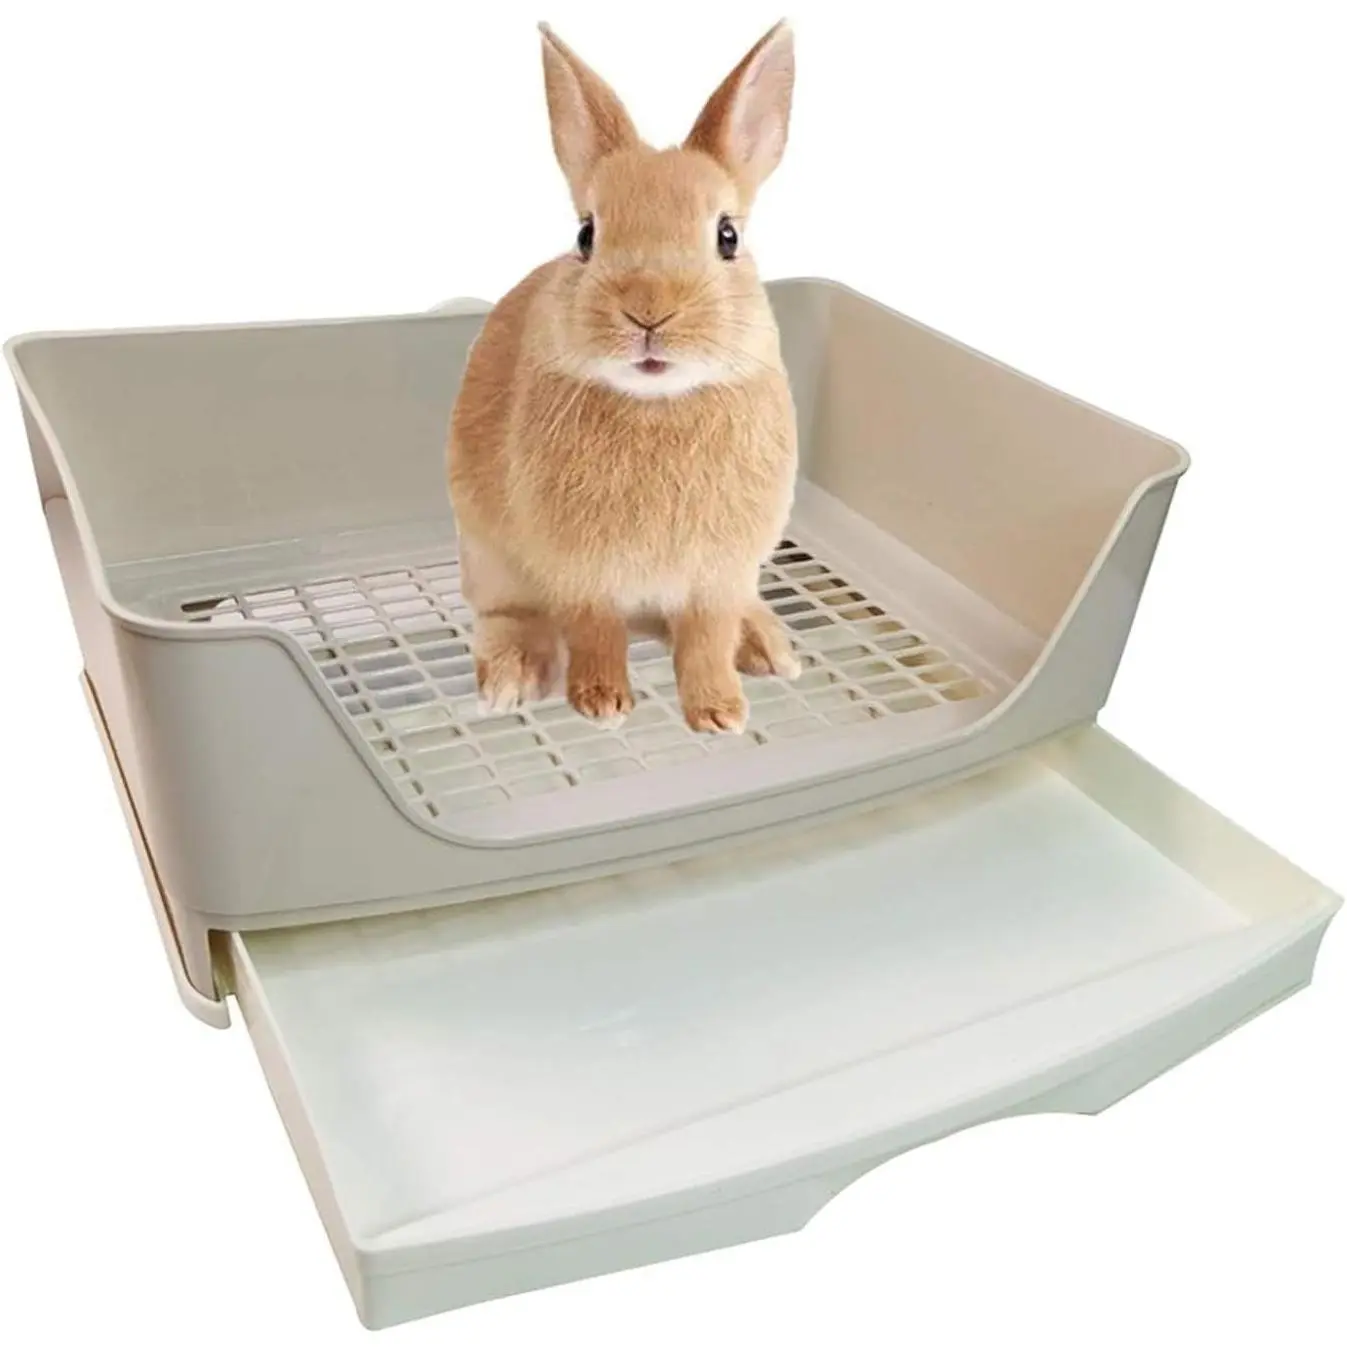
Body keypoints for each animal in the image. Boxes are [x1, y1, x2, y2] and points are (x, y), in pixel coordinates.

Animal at [448, 20, 800, 735]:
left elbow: (706, 641)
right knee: (510, 616)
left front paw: (720, 713)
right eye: (586, 235)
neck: (658, 403)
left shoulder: (718, 579)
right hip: (489, 558)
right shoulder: (582, 577)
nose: (648, 309)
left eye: (727, 236)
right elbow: (595, 634)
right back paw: (512, 676)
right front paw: (602, 703)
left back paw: (766, 646)